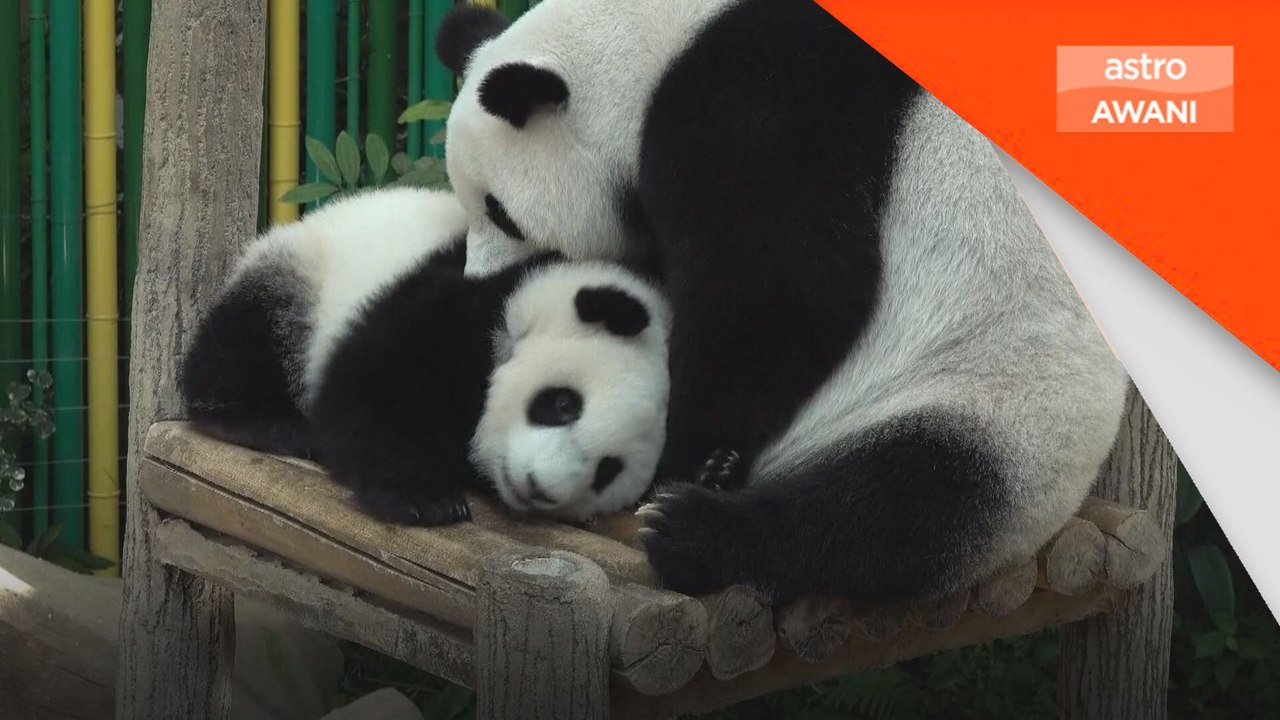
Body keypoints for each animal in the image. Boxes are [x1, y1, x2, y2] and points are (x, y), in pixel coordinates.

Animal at [181, 187, 671, 525]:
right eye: (564, 403)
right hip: (299, 275)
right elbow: (369, 391)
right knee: (246, 341)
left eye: (608, 470)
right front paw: (423, 498)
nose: (539, 488)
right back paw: (265, 422)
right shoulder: (459, 303)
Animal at [436, 0, 1131, 605]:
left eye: (501, 211)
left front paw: (680, 454)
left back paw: (696, 531)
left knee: (889, 508)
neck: (657, 37)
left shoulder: (767, 102)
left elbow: (787, 294)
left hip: (990, 406)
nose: (479, 284)